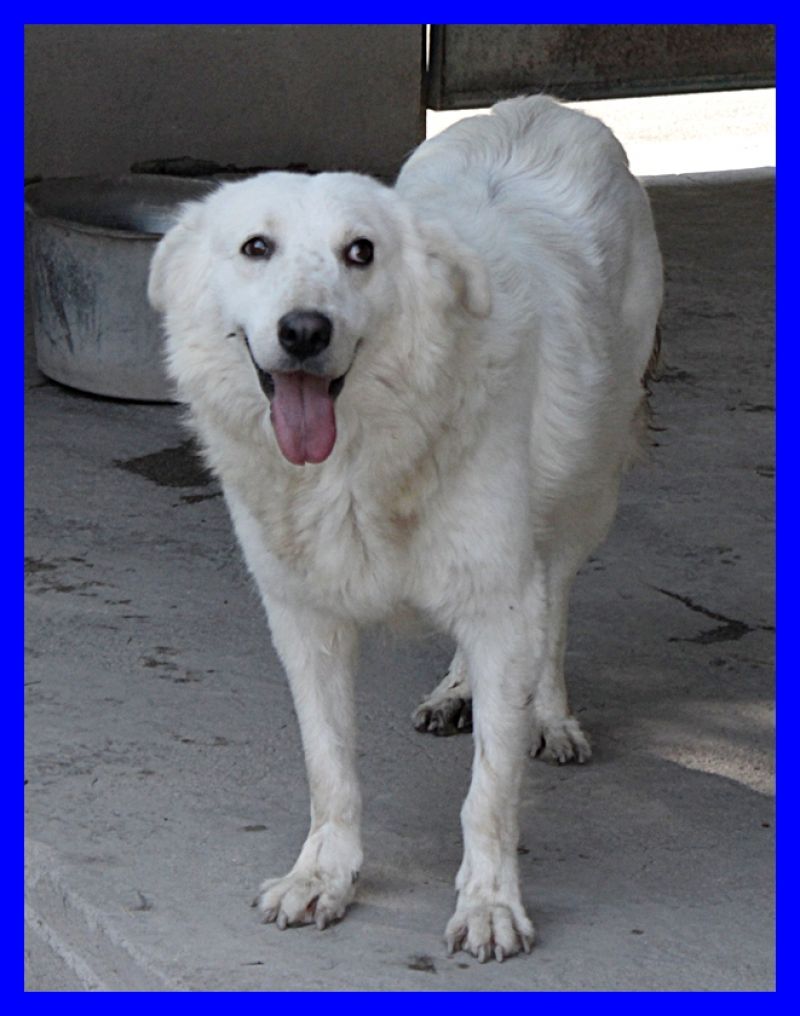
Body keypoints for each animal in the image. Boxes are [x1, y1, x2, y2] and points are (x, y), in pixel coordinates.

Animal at [148, 95, 662, 959]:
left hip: (586, 492)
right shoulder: (304, 617)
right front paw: (323, 876)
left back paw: (549, 713)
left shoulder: (501, 594)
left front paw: (490, 903)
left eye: (361, 253)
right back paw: (458, 689)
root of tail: (544, 105)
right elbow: (330, 768)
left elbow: (490, 791)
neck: (360, 465)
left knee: (554, 600)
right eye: (257, 247)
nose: (305, 331)